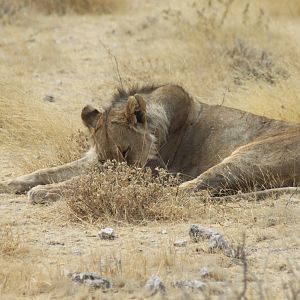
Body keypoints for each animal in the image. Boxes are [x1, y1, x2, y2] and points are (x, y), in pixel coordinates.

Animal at [1, 83, 298, 203]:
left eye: (126, 151)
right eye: (105, 159)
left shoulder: (149, 172)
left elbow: (84, 181)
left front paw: (44, 191)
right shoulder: (92, 161)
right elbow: (51, 170)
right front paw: (11, 183)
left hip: (247, 155)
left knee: (189, 190)